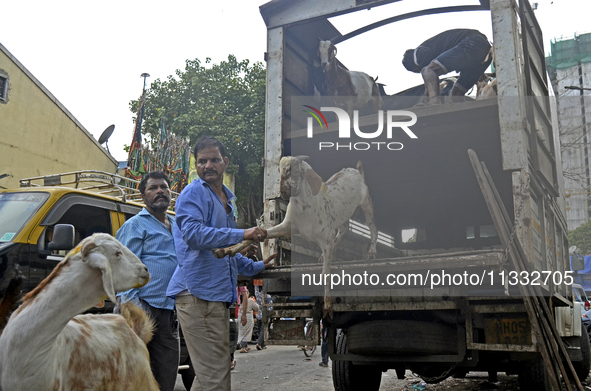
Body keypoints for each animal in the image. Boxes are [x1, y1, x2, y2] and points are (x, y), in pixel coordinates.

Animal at [214, 156, 380, 316]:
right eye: (279, 170)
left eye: (295, 171)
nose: (283, 192)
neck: (305, 207)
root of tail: (356, 171)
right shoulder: (288, 226)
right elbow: (261, 234)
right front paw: (224, 250)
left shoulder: (326, 239)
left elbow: (325, 273)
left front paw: (327, 306)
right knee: (344, 228)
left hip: (366, 204)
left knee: (373, 228)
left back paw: (372, 252)